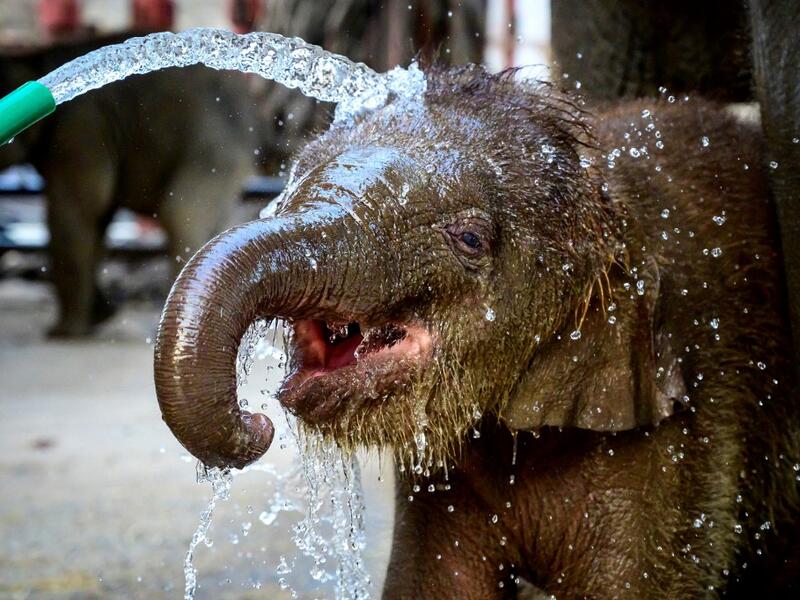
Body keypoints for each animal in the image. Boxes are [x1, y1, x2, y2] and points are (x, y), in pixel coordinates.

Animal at [0, 31, 264, 337]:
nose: (58, 331)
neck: (33, 59)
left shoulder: (79, 135)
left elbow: (77, 211)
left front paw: (63, 333)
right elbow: (98, 221)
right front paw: (101, 317)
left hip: (213, 148)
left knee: (179, 214)